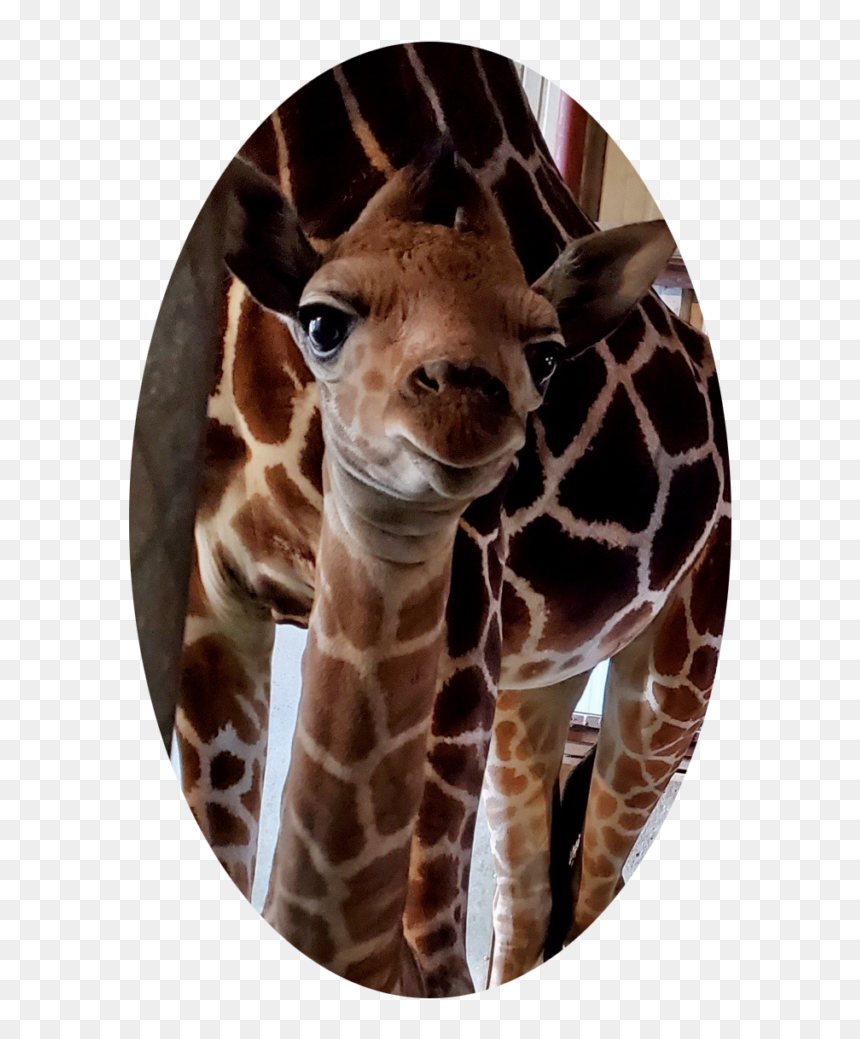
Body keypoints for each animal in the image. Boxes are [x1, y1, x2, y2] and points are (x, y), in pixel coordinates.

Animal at [165, 43, 730, 996]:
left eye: (549, 355)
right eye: (321, 320)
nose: (466, 404)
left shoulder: (470, 587)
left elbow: (423, 954)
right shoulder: (214, 594)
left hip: (680, 665)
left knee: (590, 885)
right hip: (540, 681)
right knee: (529, 905)